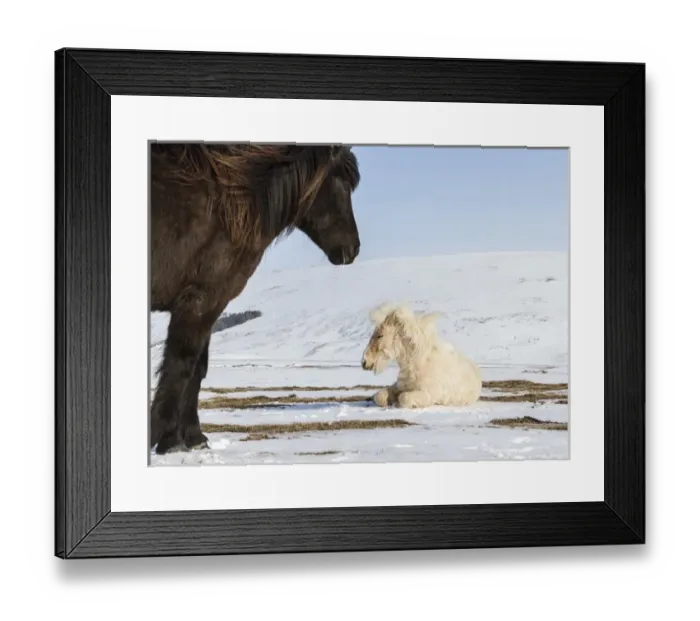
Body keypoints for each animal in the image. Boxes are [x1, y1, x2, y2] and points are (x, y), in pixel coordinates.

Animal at [149, 142, 362, 454]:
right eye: (343, 184)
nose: (353, 249)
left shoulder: (210, 304)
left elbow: (197, 369)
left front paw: (191, 437)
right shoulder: (201, 300)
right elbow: (181, 365)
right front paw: (165, 438)